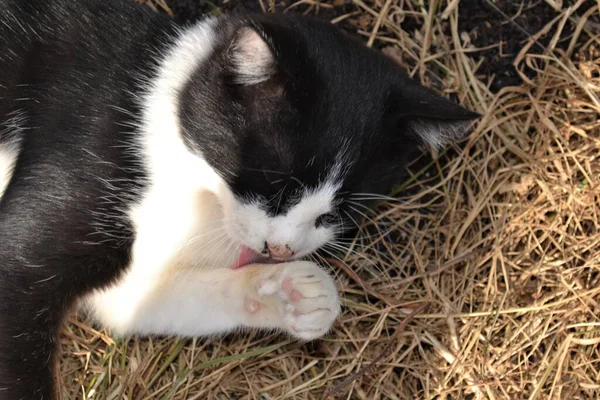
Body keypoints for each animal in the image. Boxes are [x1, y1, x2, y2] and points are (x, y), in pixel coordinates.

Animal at [0, 0, 478, 396]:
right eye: (272, 183)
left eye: (339, 213)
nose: (281, 249)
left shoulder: (130, 289)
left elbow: (141, 301)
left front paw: (297, 294)